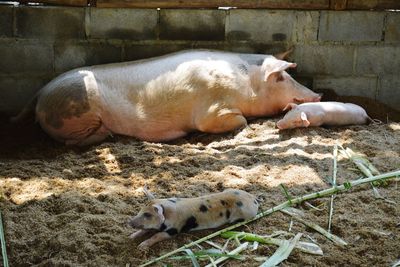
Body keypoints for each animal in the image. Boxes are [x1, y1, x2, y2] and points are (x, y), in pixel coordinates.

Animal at [13, 49, 322, 146]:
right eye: (282, 78)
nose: (318, 94)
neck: (247, 83)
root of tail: (40, 93)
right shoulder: (212, 110)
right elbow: (241, 121)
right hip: (75, 112)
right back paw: (107, 135)